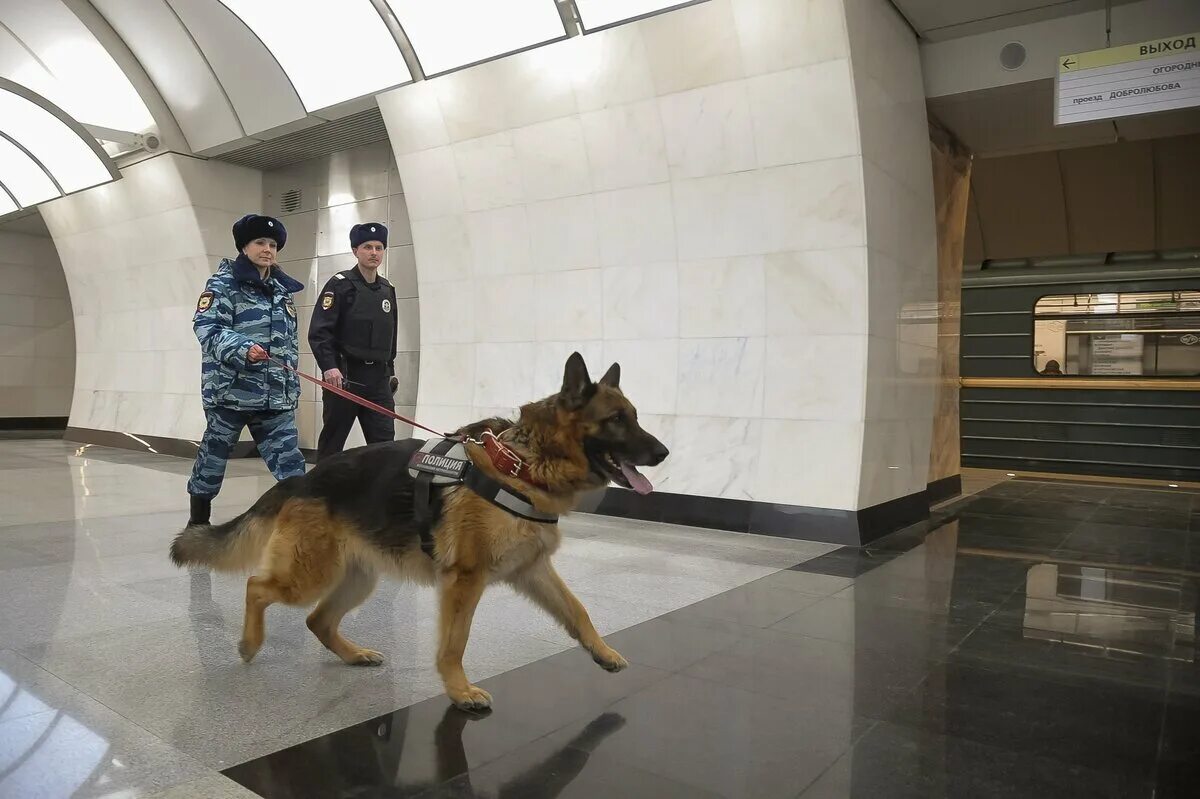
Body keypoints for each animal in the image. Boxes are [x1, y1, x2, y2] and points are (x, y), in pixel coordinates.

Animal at [171, 352, 667, 705]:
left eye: (635, 416)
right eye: (616, 420)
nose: (663, 453)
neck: (524, 465)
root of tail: (304, 478)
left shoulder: (533, 570)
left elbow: (578, 611)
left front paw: (602, 652)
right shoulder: (465, 581)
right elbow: (455, 643)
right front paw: (459, 690)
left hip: (358, 579)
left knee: (317, 620)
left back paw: (354, 654)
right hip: (308, 575)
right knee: (257, 586)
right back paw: (249, 643)